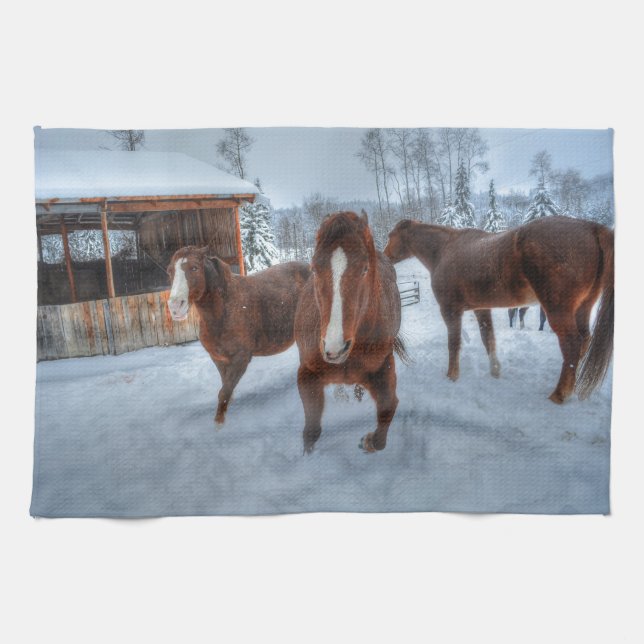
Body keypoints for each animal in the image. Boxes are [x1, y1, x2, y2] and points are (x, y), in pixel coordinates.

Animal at [167, 247, 311, 424]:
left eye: (194, 268)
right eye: (170, 271)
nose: (175, 307)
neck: (224, 311)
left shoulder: (241, 359)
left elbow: (224, 391)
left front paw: (219, 422)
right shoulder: (219, 359)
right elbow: (225, 387)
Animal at [294, 211, 407, 453]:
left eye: (364, 269)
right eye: (314, 268)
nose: (334, 348)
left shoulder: (383, 368)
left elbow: (388, 409)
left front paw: (369, 442)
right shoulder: (306, 374)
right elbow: (312, 430)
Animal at [384, 216, 613, 403]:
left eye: (390, 235)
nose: (385, 257)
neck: (444, 250)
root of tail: (591, 227)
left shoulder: (450, 310)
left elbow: (454, 344)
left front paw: (452, 376)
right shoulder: (482, 309)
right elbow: (488, 339)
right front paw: (495, 373)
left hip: (558, 310)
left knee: (572, 344)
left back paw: (559, 395)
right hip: (583, 307)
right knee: (584, 341)